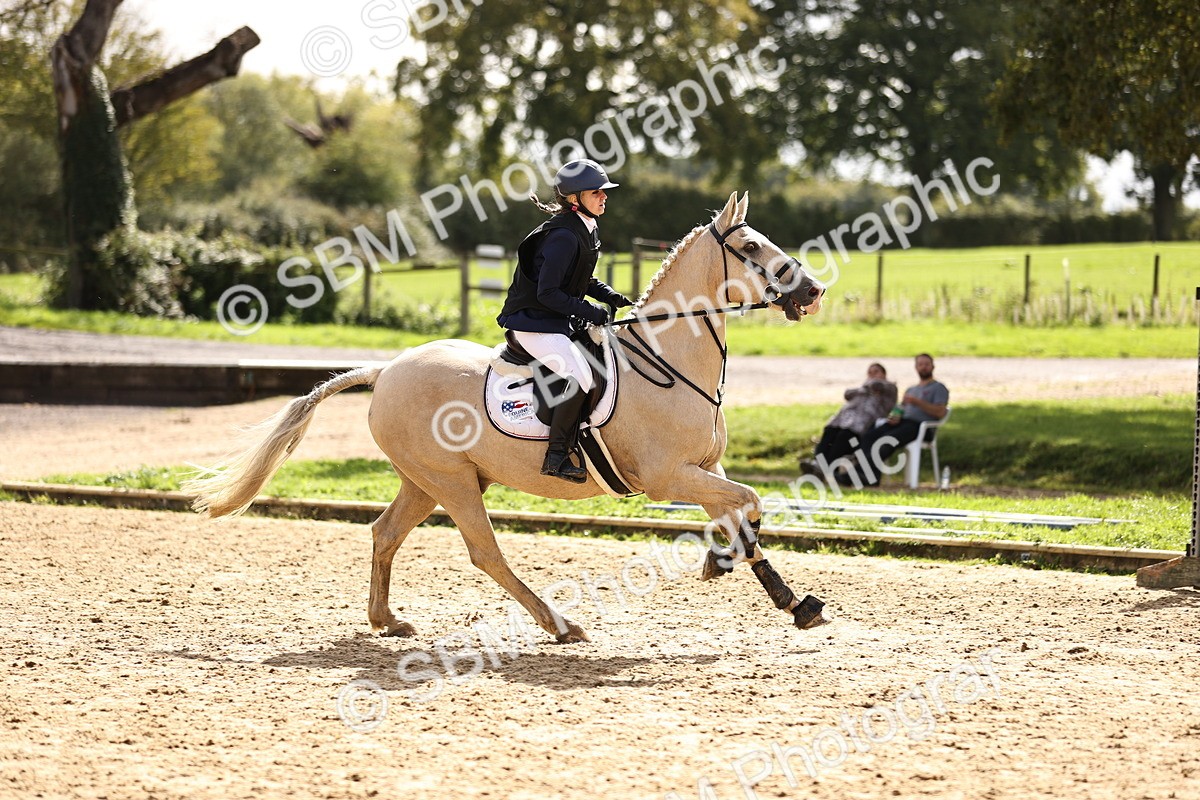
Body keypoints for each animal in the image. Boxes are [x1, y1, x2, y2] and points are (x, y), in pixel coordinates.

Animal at [184, 192, 829, 644]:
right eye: (751, 249)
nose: (815, 291)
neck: (669, 358)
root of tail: (387, 369)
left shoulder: (703, 469)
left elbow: (741, 513)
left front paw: (783, 596)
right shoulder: (667, 476)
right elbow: (748, 502)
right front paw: (747, 576)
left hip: (427, 480)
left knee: (386, 533)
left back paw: (388, 621)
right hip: (451, 482)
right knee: (484, 552)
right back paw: (561, 624)